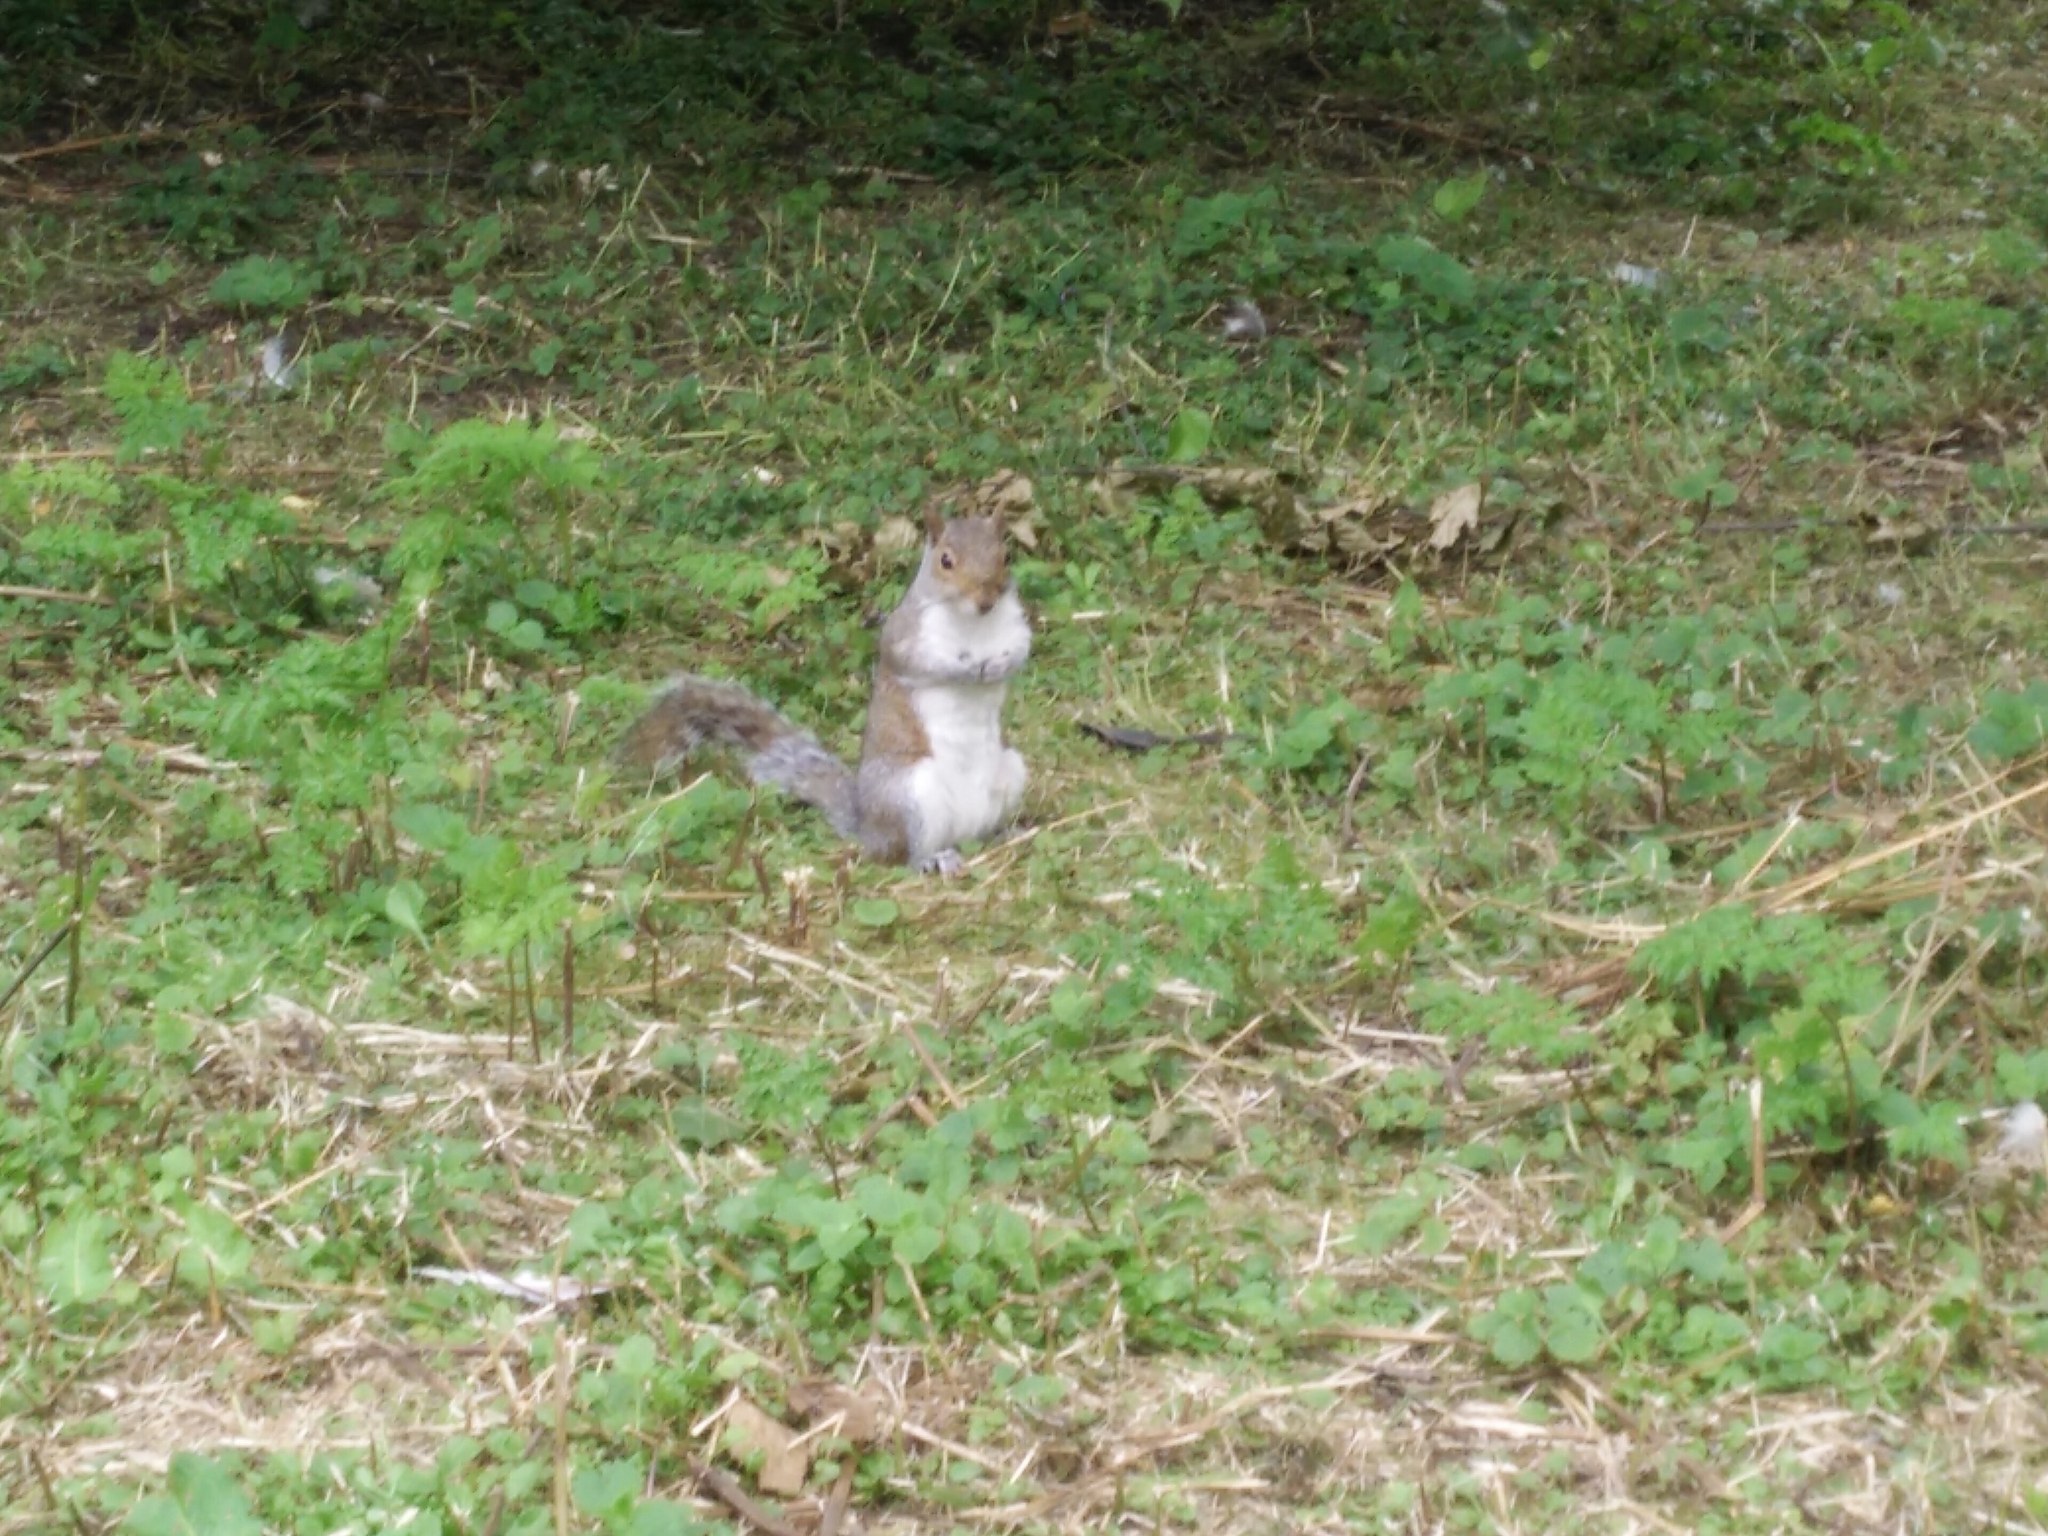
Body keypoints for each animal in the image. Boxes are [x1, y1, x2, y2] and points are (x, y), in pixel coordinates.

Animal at [617, 505, 1032, 876]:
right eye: (946, 561)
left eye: (1006, 555)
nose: (986, 599)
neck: (973, 625)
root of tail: (867, 827)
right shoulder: (904, 635)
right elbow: (920, 664)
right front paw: (965, 670)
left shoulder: (1015, 626)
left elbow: (1022, 650)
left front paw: (999, 666)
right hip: (910, 794)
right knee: (902, 854)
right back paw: (932, 859)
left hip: (1010, 770)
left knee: (980, 831)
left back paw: (1006, 833)